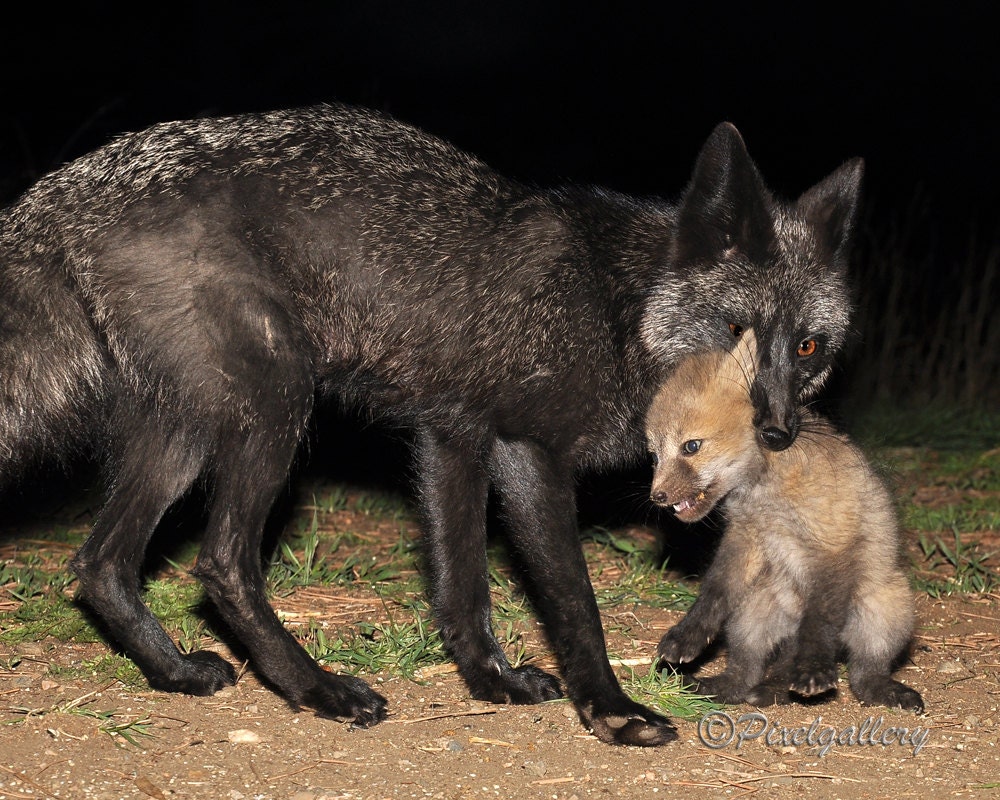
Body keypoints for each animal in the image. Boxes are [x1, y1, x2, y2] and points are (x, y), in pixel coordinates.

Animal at [648, 332, 920, 712]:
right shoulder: (745, 539)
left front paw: (814, 670)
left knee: (862, 674)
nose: (656, 497)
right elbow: (714, 592)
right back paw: (730, 688)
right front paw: (687, 637)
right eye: (654, 455)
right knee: (745, 672)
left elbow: (819, 622)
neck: (764, 494)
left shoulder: (832, 544)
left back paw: (880, 689)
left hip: (886, 608)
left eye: (691, 446)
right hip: (750, 616)